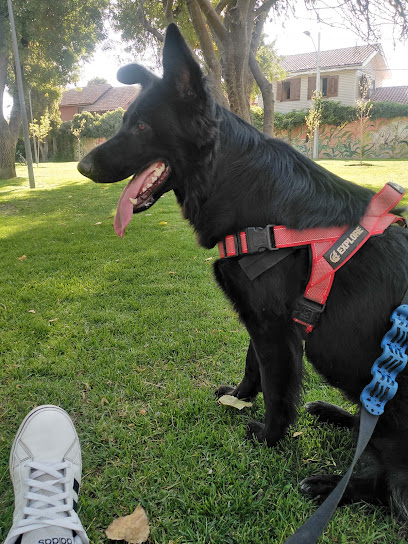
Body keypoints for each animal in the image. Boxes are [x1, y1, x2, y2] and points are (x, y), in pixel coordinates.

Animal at [79, 24, 408, 520]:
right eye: (125, 122)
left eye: (140, 126)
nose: (81, 165)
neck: (245, 191)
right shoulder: (258, 318)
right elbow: (254, 366)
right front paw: (239, 395)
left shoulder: (273, 326)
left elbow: (277, 388)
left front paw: (268, 436)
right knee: (367, 432)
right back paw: (333, 415)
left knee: (386, 489)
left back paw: (327, 484)